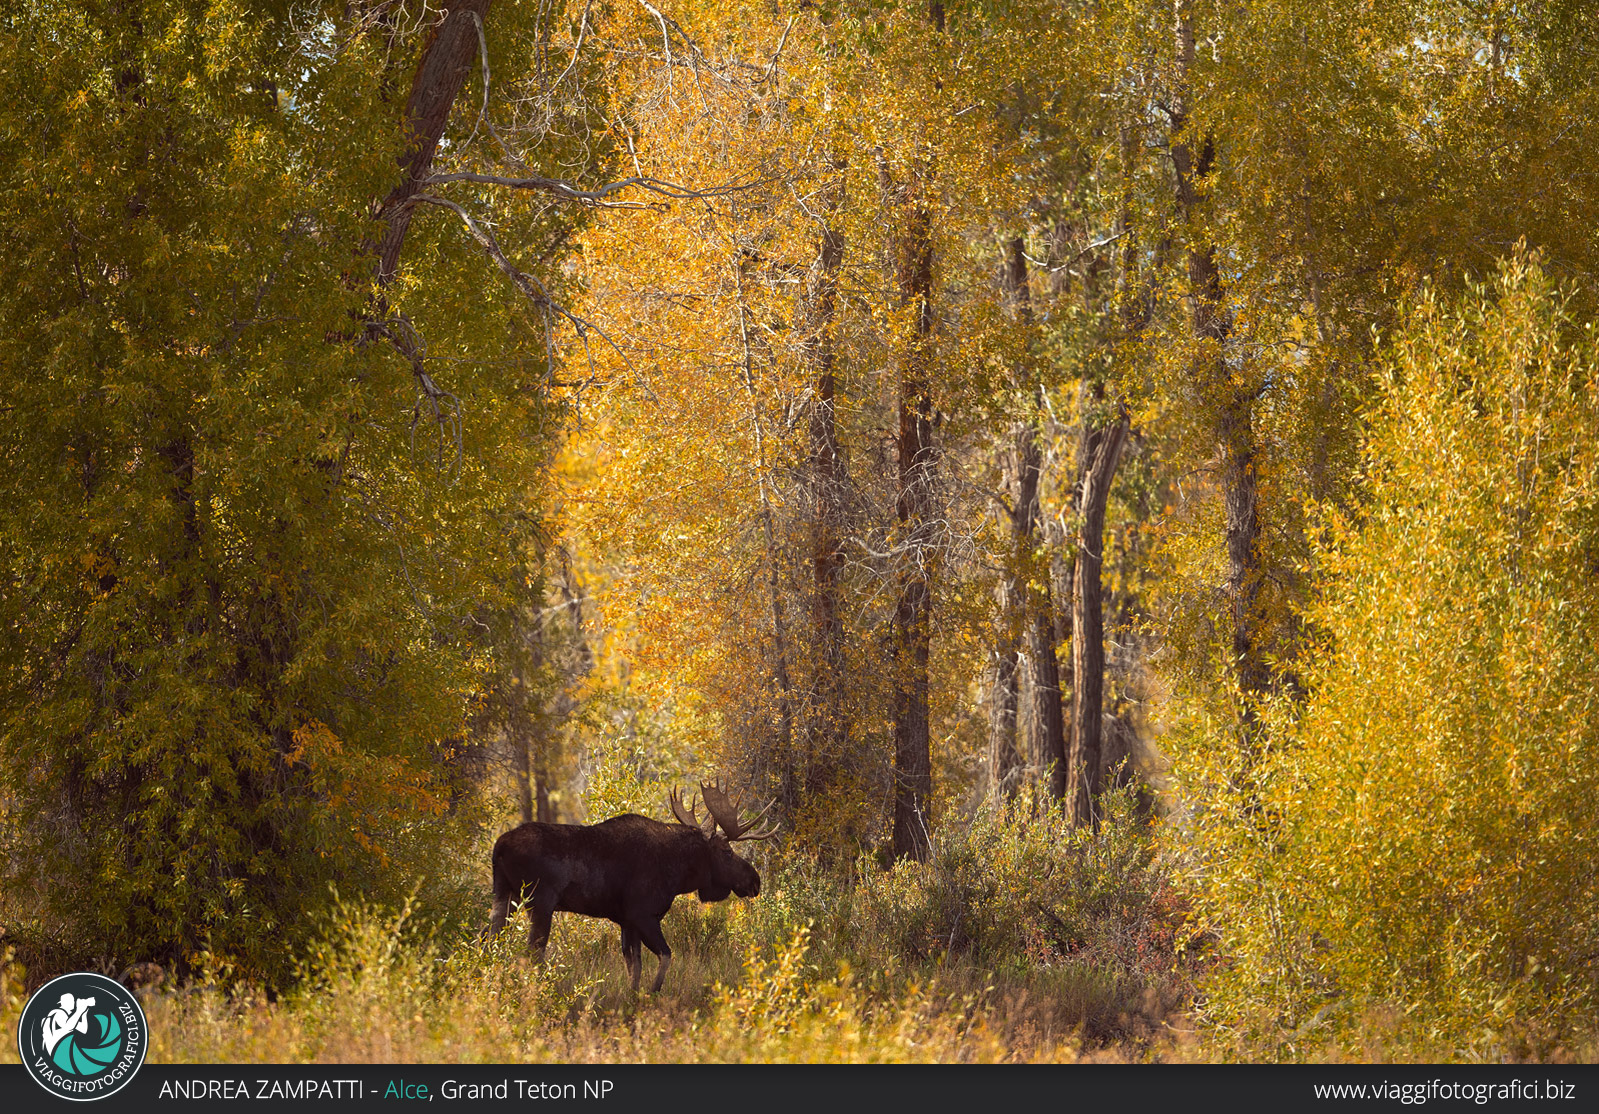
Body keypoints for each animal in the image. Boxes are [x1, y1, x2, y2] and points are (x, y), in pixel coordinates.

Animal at [492, 783, 780, 990]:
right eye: (727, 852)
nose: (755, 881)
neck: (678, 873)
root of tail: (499, 846)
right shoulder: (642, 915)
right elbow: (665, 955)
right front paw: (653, 992)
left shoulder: (626, 921)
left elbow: (635, 967)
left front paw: (633, 998)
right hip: (540, 902)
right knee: (533, 952)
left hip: (504, 895)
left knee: (489, 939)